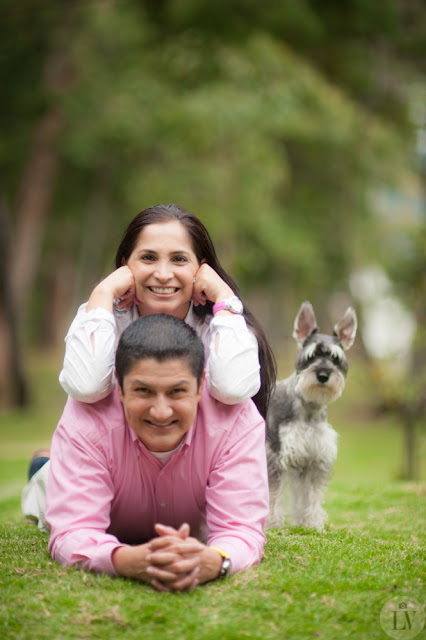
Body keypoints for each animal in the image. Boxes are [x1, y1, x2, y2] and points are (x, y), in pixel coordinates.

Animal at [266, 302, 356, 532]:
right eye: (311, 356)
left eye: (335, 358)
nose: (323, 375)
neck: (308, 408)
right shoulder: (276, 456)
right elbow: (273, 493)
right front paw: (271, 523)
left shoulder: (314, 461)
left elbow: (311, 496)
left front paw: (311, 523)